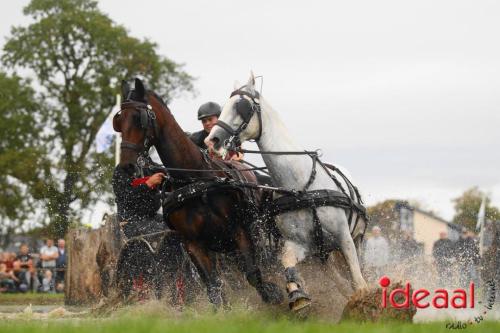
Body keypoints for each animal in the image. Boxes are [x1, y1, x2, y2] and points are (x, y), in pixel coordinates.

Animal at [114, 78, 286, 306]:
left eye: (138, 118)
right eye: (119, 120)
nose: (127, 166)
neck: (196, 181)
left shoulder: (239, 230)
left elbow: (253, 273)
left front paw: (274, 295)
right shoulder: (193, 244)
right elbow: (214, 288)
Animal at [205, 72, 370, 312]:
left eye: (241, 106)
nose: (212, 141)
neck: (301, 188)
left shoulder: (344, 237)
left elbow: (358, 281)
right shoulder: (298, 243)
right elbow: (287, 264)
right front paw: (298, 296)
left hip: (356, 239)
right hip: (323, 253)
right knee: (337, 279)